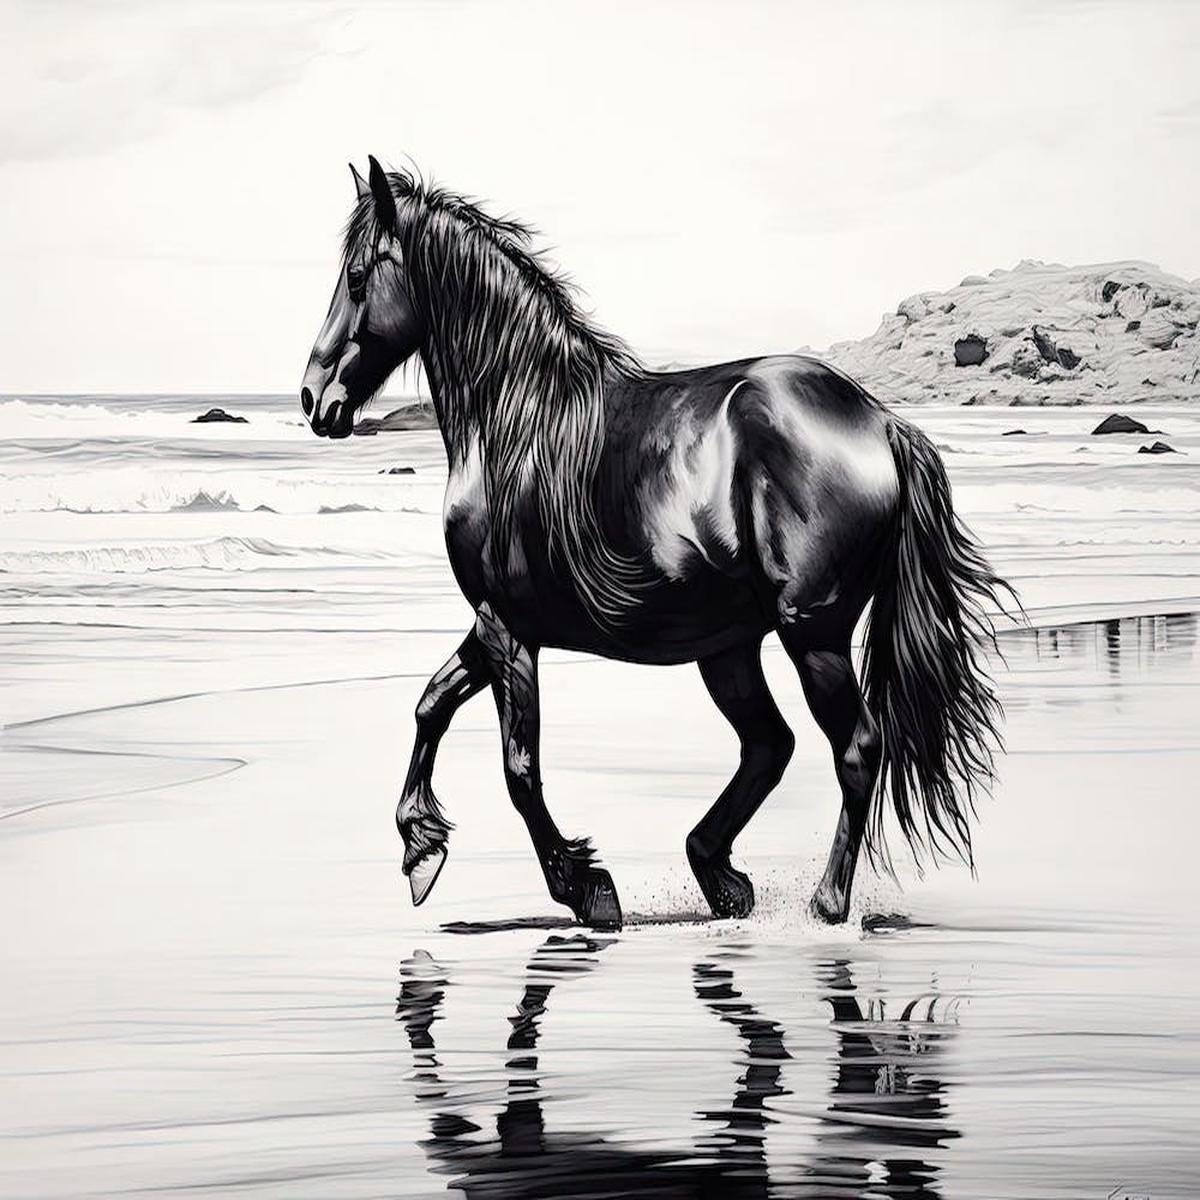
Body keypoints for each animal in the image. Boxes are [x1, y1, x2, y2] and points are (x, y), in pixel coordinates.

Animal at [300, 156, 1013, 931]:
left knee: (854, 747)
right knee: (770, 745)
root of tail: (881, 421)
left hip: (811, 633)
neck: (519, 421)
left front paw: (585, 888)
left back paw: (824, 902)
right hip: (729, 647)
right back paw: (721, 878)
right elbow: (431, 705)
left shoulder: (507, 630)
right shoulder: (498, 622)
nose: (312, 398)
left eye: (359, 277)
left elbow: (519, 769)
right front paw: (422, 851)